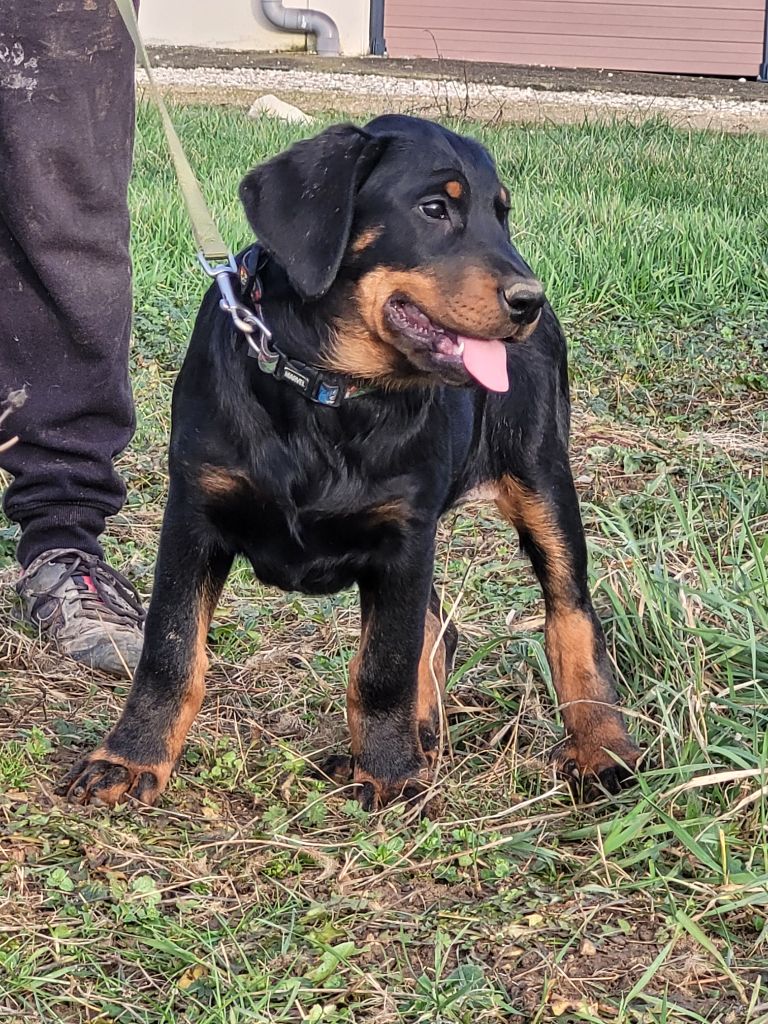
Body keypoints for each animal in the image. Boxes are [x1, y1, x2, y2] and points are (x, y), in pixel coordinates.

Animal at [58, 115, 641, 812]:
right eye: (434, 208)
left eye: (502, 215)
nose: (531, 300)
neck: (328, 392)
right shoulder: (194, 514)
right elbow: (169, 650)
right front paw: (129, 758)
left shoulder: (403, 533)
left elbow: (383, 662)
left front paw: (390, 772)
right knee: (437, 626)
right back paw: (426, 732)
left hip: (541, 478)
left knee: (571, 614)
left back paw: (601, 750)